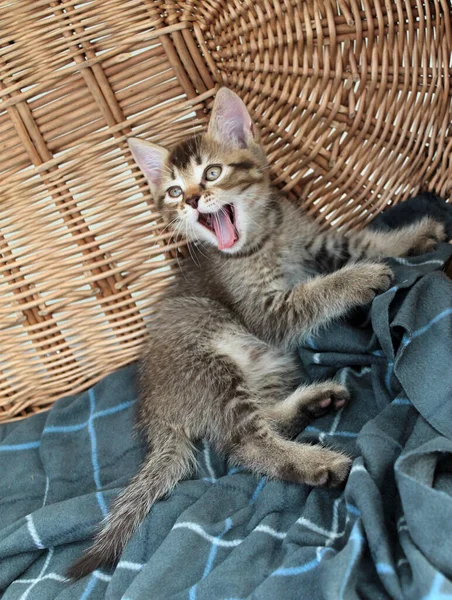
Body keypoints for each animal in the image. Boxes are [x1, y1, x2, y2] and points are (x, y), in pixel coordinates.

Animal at [68, 86, 444, 580]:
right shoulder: (268, 313)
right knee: (243, 443)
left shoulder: (320, 242)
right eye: (173, 190)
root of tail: (154, 412)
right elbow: (317, 291)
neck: (266, 237)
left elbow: (364, 240)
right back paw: (318, 463)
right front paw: (362, 278)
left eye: (212, 172)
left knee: (260, 422)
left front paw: (411, 238)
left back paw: (315, 401)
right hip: (211, 364)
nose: (192, 200)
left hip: (269, 362)